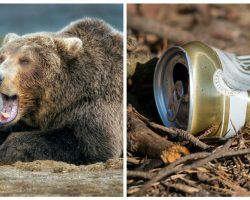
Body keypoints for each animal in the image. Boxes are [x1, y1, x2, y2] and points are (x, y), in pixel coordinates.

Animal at [0, 18, 123, 165]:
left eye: (25, 60)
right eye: (2, 57)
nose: (0, 76)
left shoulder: (96, 102)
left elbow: (91, 144)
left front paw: (8, 149)